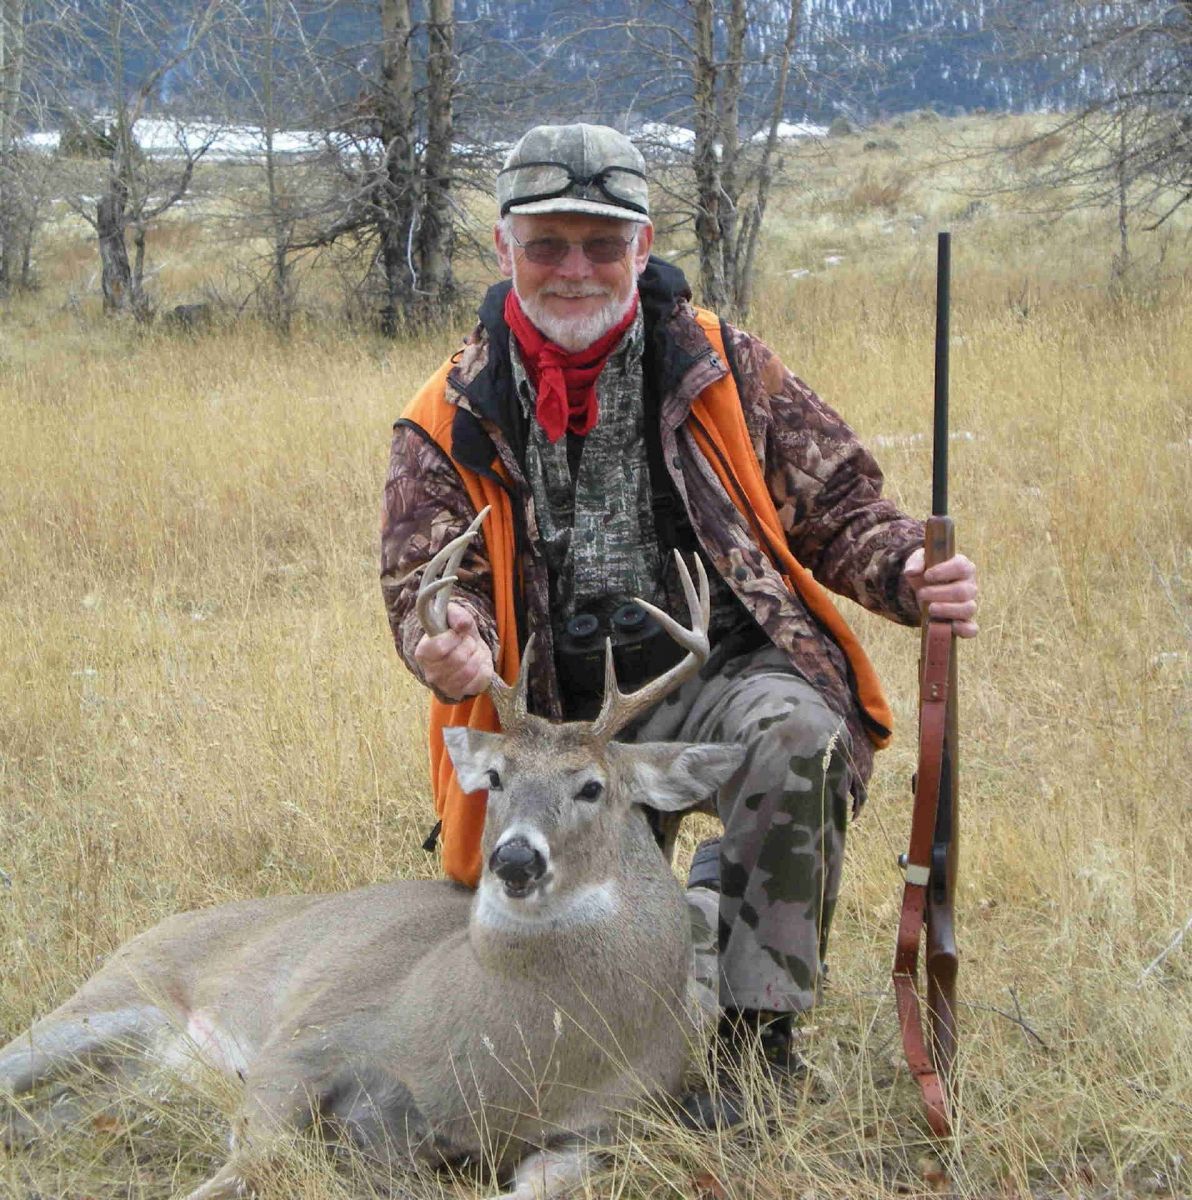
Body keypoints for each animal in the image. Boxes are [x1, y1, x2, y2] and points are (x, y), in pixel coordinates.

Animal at [0, 510, 745, 1200]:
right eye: (496, 778)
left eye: (591, 786)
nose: (514, 861)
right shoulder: (307, 1038)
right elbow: (247, 1164)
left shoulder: (600, 1132)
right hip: (108, 997)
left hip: (132, 1075)